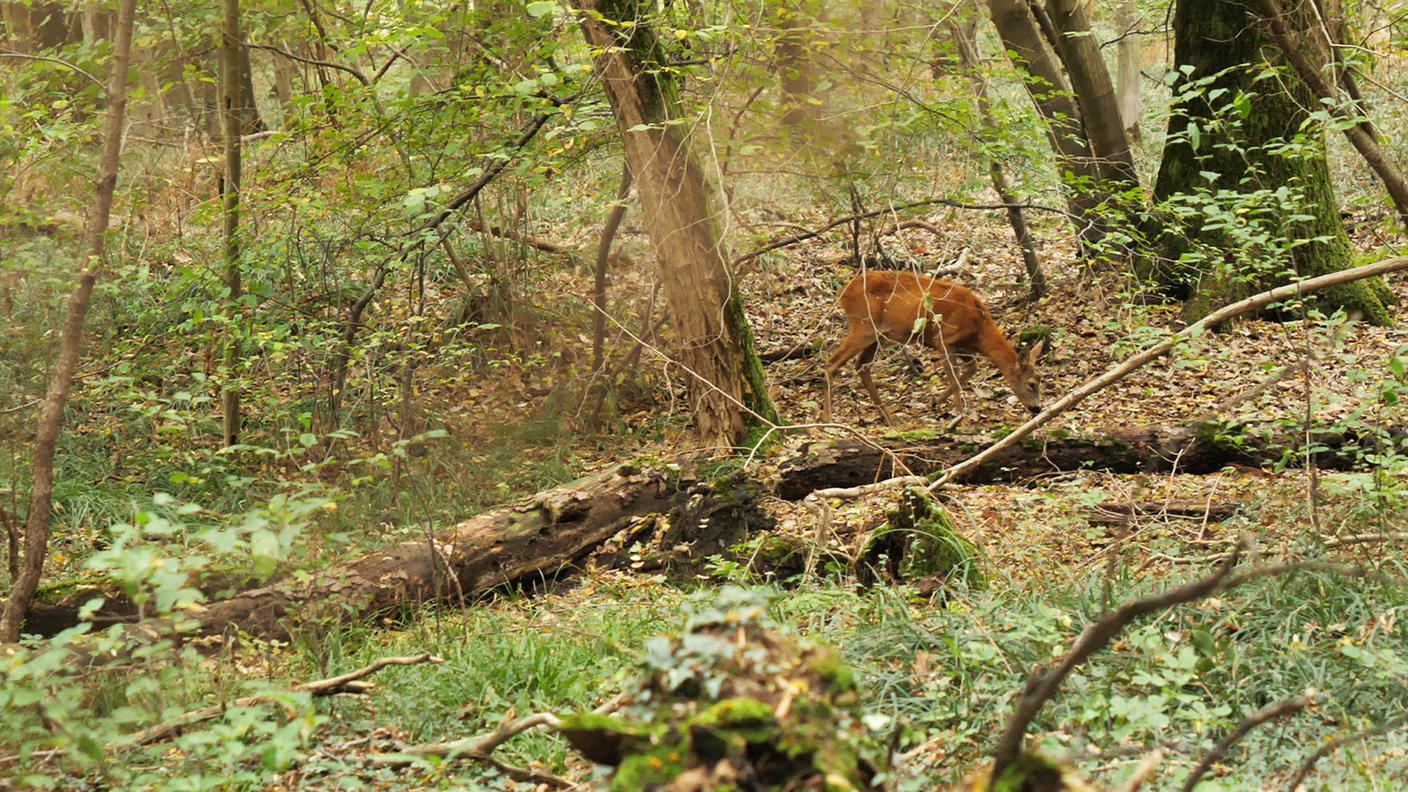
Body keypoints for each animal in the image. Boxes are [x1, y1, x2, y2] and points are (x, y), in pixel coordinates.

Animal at [822, 269, 1041, 422]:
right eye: (1031, 384)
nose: (1037, 408)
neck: (978, 327)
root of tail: (842, 292)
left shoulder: (963, 346)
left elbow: (971, 369)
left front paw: (936, 401)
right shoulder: (943, 338)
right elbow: (954, 376)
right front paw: (960, 415)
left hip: (879, 335)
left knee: (862, 366)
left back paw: (890, 419)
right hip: (864, 326)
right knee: (832, 361)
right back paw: (828, 418)